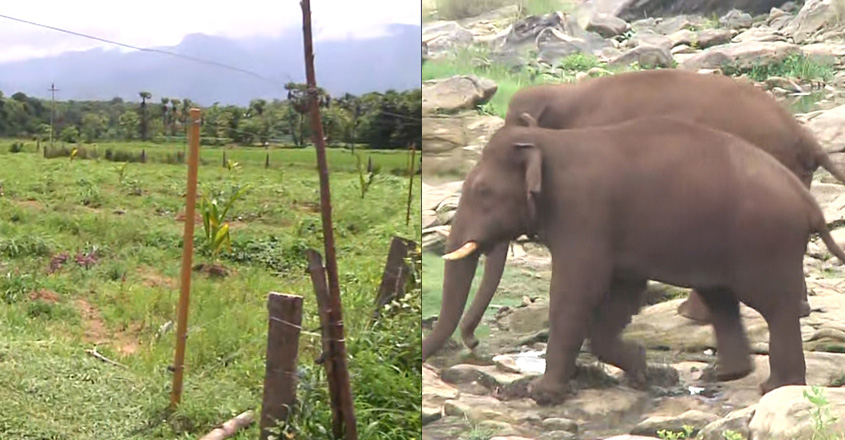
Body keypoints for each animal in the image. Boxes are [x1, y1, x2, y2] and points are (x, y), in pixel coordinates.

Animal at [421, 117, 845, 405]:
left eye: (482, 191)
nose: (474, 342)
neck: (548, 141)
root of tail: (809, 202)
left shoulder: (584, 213)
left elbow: (576, 290)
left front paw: (543, 394)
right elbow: (621, 290)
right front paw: (644, 371)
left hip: (764, 241)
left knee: (773, 306)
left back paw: (776, 386)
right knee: (721, 297)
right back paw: (725, 373)